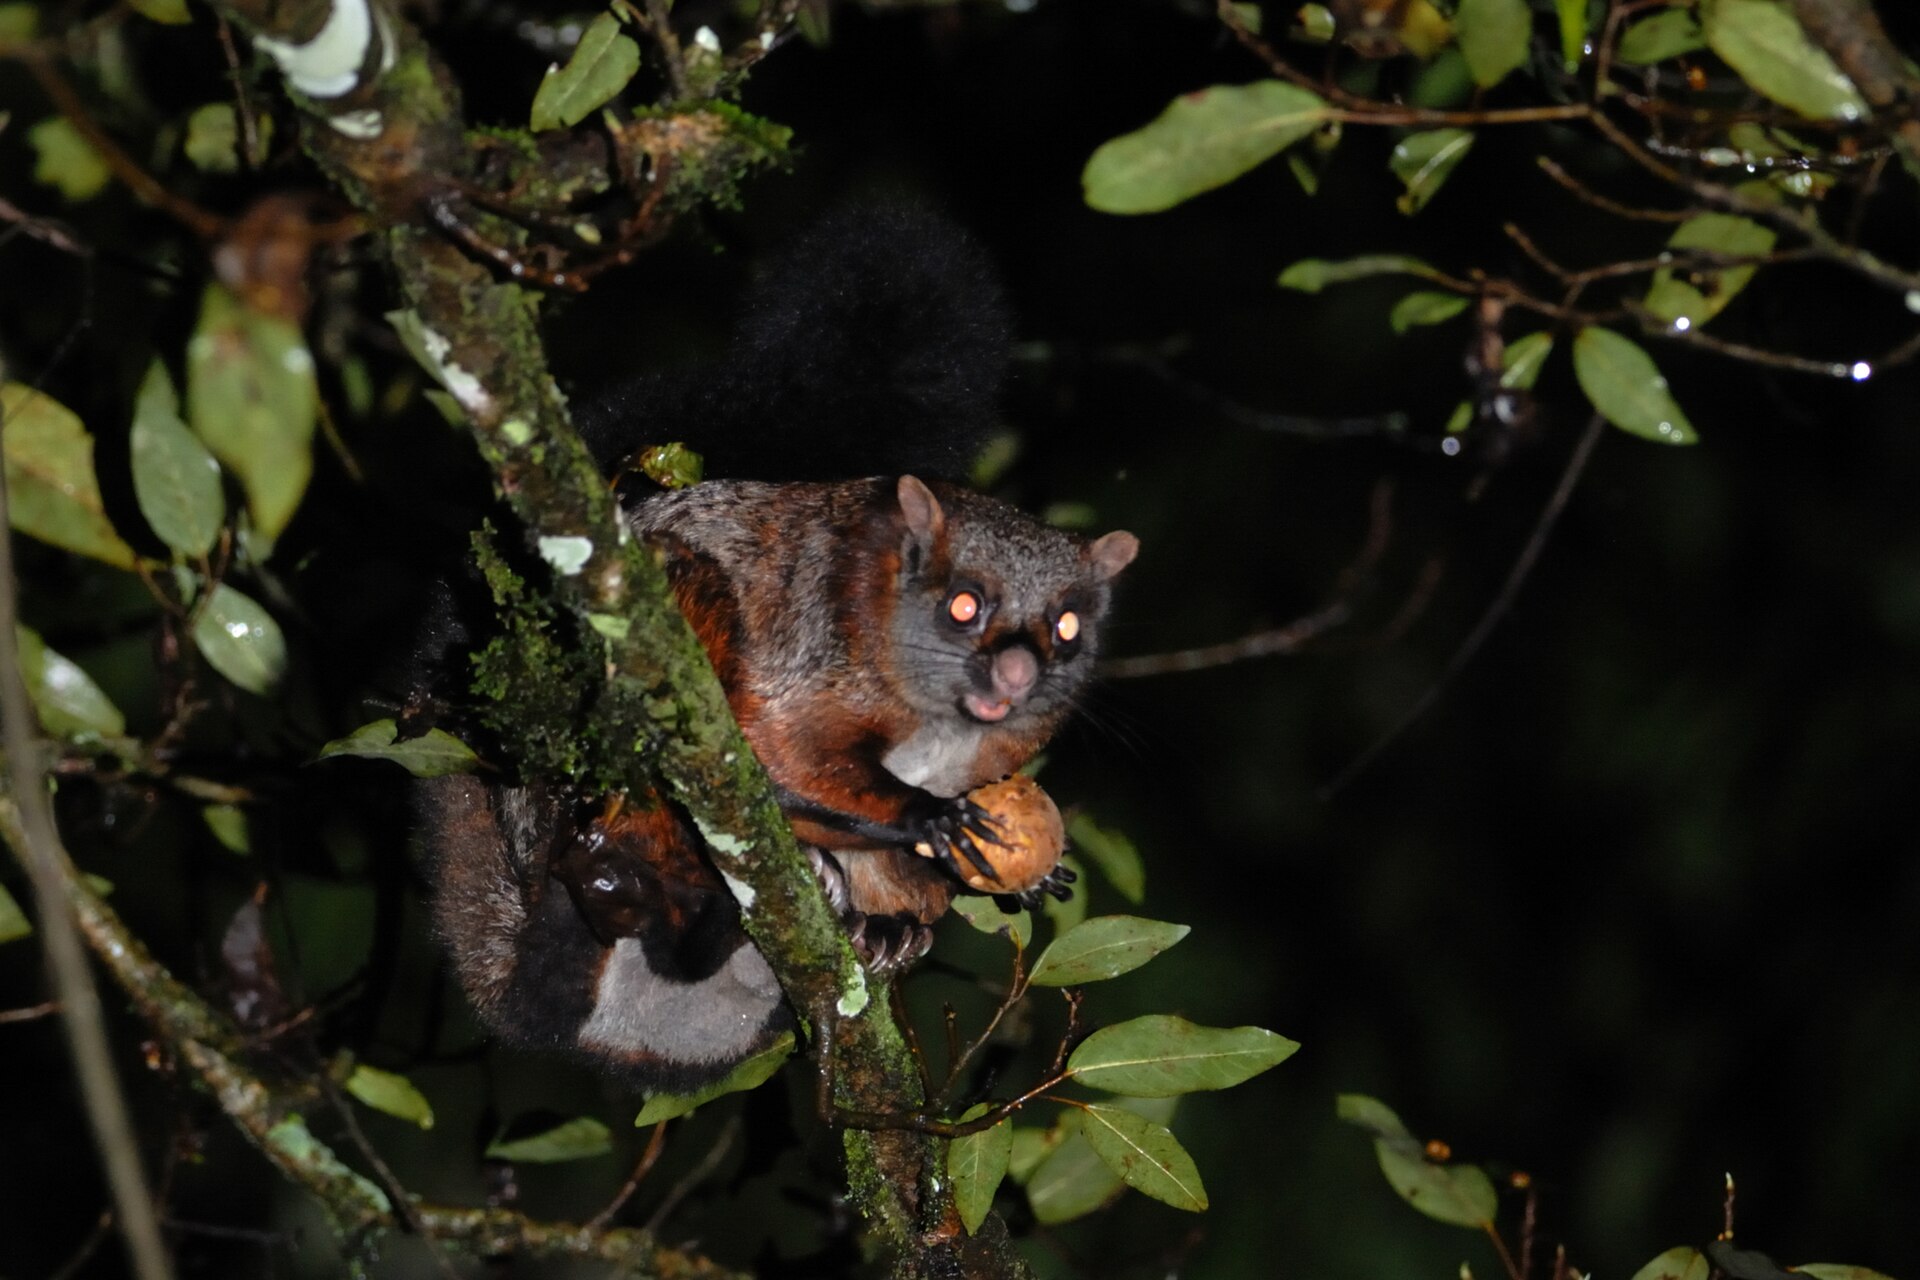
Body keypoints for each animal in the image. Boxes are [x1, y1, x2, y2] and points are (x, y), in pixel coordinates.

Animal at [417, 205, 1138, 1091]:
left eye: (1066, 628)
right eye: (964, 606)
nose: (1016, 671)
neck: (942, 723)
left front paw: (1013, 876)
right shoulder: (815, 661)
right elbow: (778, 747)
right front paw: (923, 817)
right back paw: (633, 872)